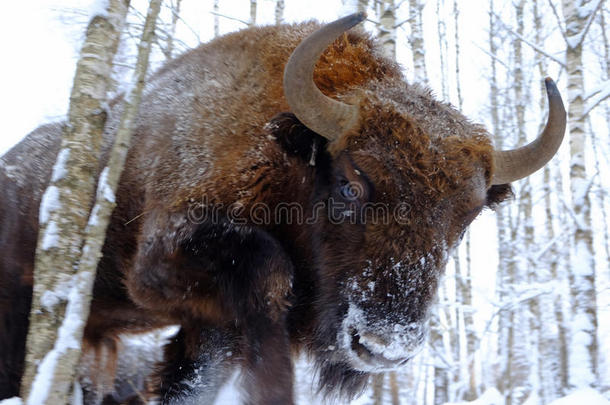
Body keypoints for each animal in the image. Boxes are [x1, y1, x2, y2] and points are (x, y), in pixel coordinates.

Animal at [0, 12, 564, 404]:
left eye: (466, 218)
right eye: (350, 185)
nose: (384, 346)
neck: (285, 155)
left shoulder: (209, 329)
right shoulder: (157, 264)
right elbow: (272, 273)